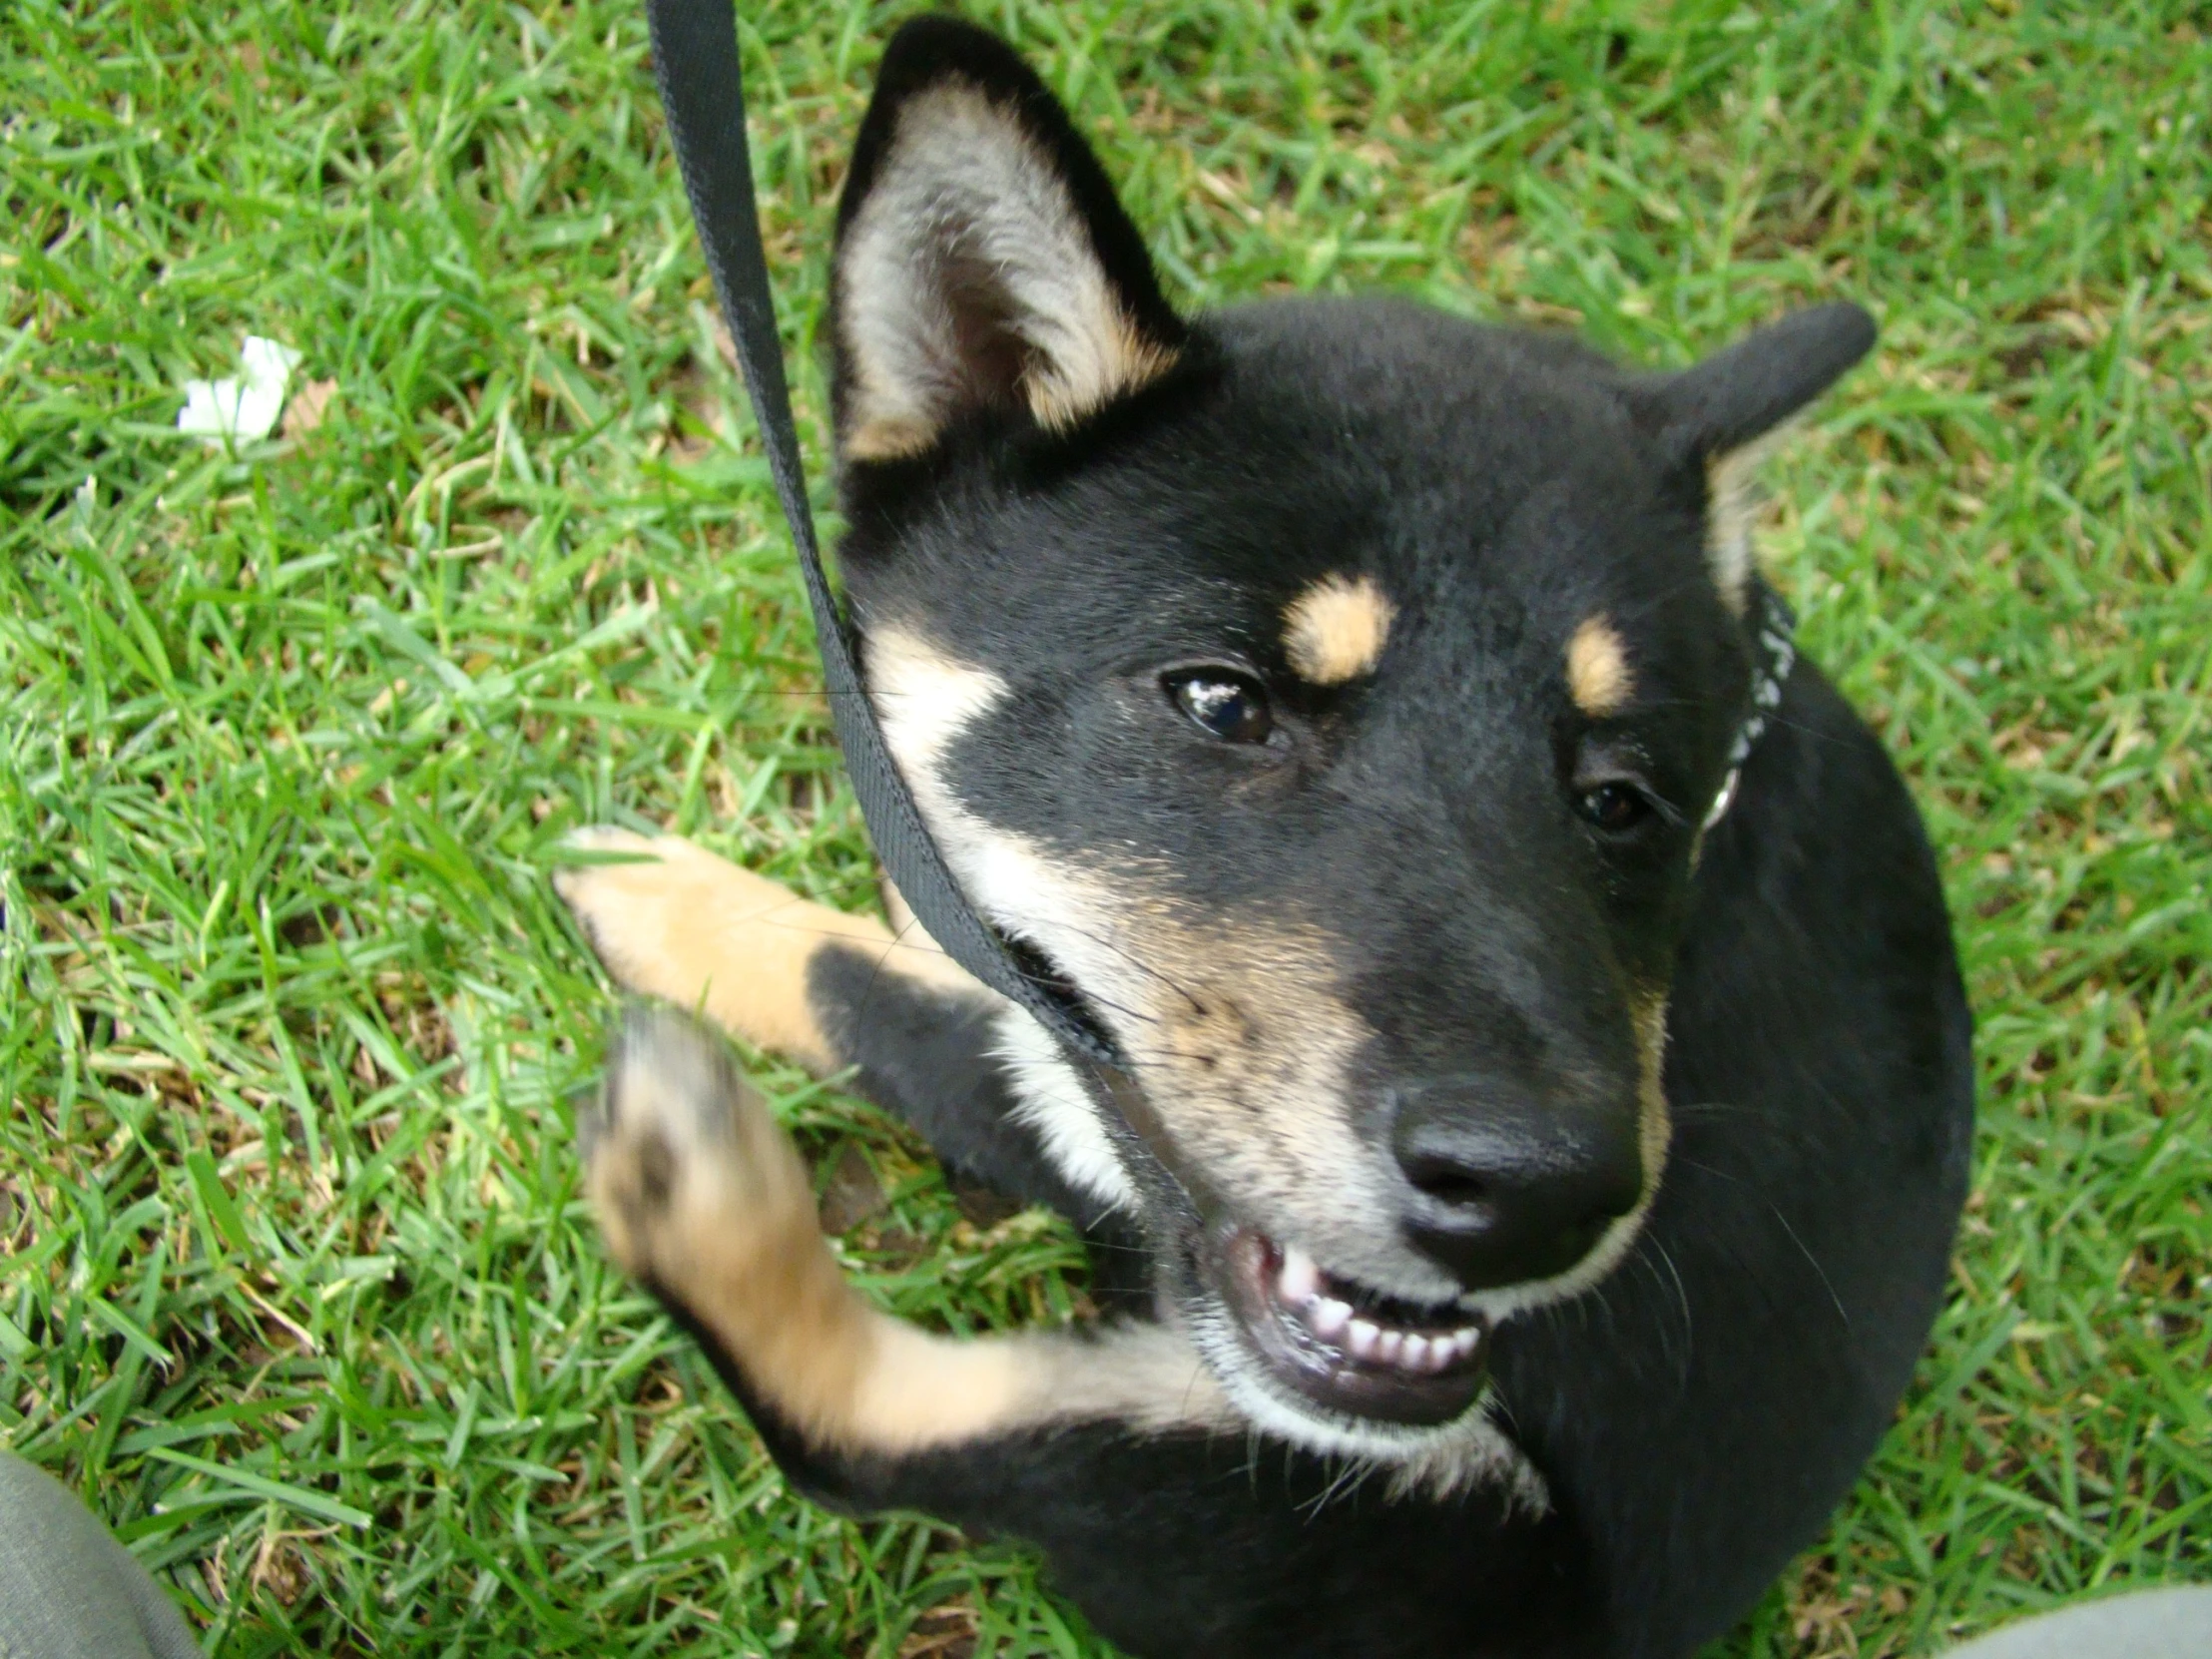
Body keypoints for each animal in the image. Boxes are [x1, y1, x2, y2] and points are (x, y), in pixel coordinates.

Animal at [553, 16, 1972, 1659]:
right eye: (1222, 700)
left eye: (1622, 800)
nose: (1541, 1196)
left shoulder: (1084, 1109)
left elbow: (894, 1006)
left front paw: (670, 903)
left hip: (1316, 1513)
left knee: (861, 1435)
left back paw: (702, 1189)